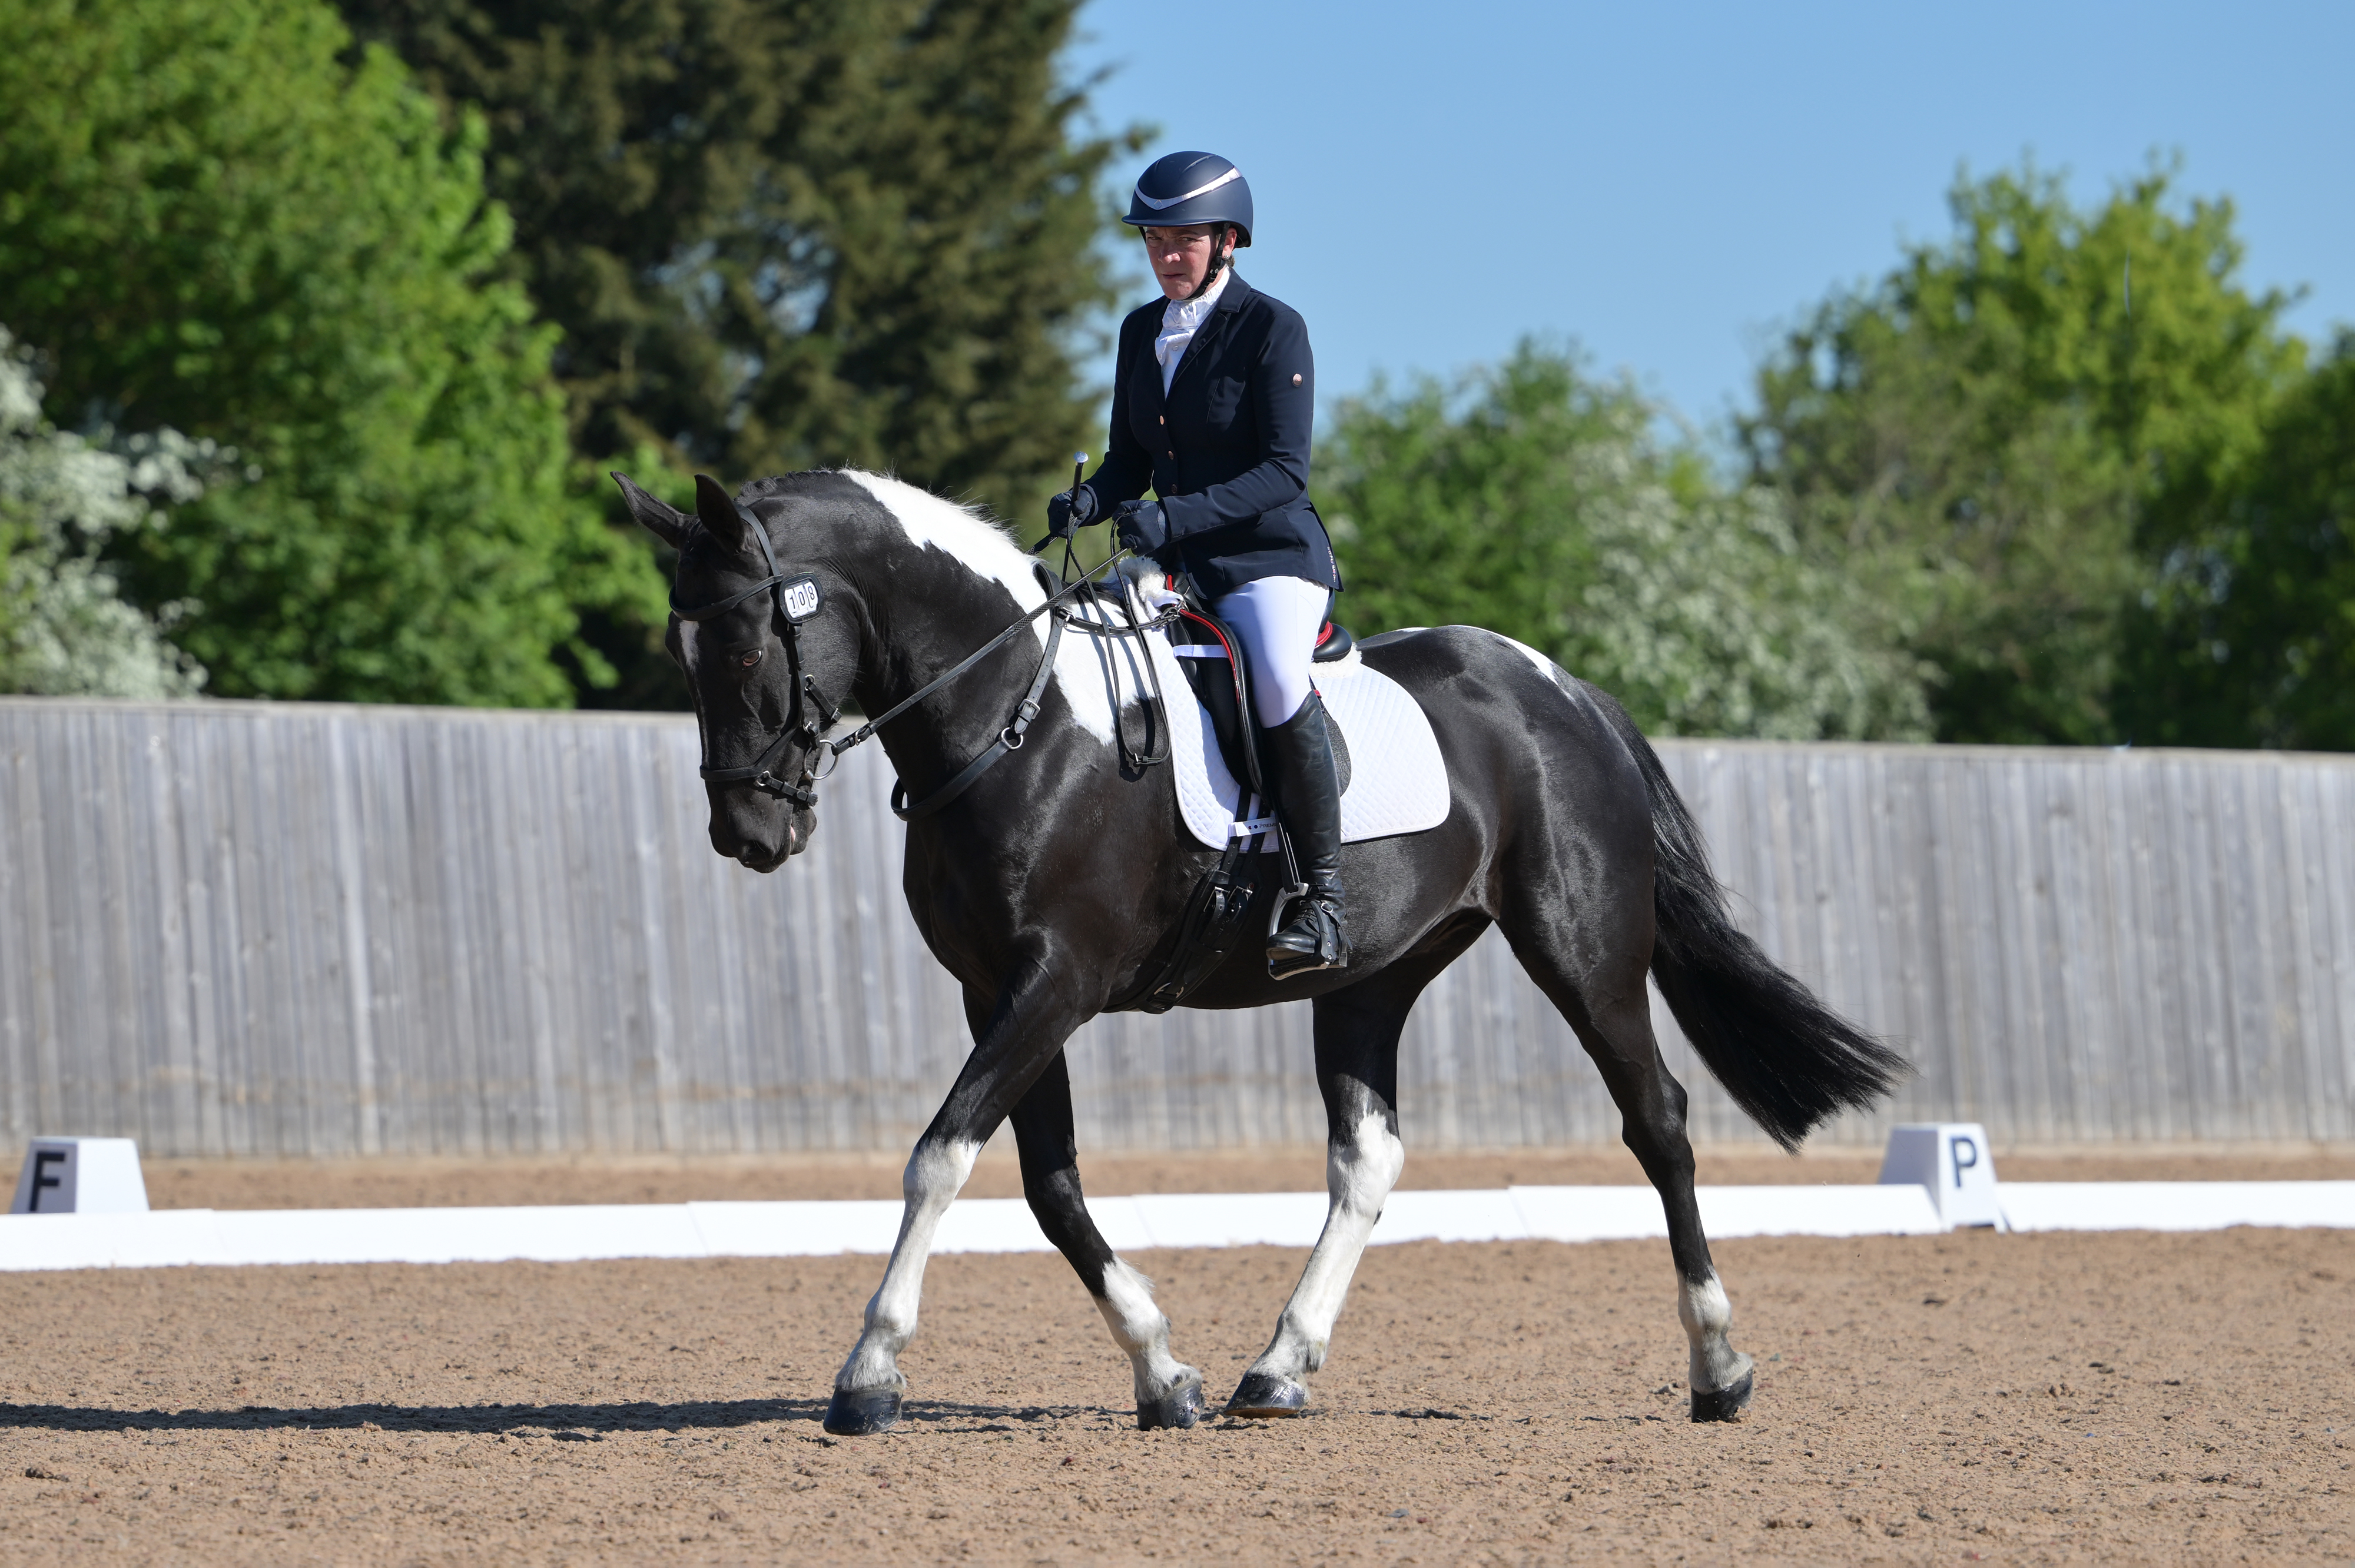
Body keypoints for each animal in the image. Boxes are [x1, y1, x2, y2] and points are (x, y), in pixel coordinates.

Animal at [612, 466, 1905, 1435]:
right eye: (679, 648)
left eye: (745, 644)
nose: (749, 833)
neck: (1016, 721)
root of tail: (1564, 689)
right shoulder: (1001, 993)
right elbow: (1047, 1183)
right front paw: (1162, 1373)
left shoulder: (1056, 982)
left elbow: (940, 1157)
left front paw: (869, 1372)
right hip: (1371, 978)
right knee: (1367, 1159)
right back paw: (1275, 1368)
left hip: (1580, 949)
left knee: (1658, 1121)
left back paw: (1718, 1367)